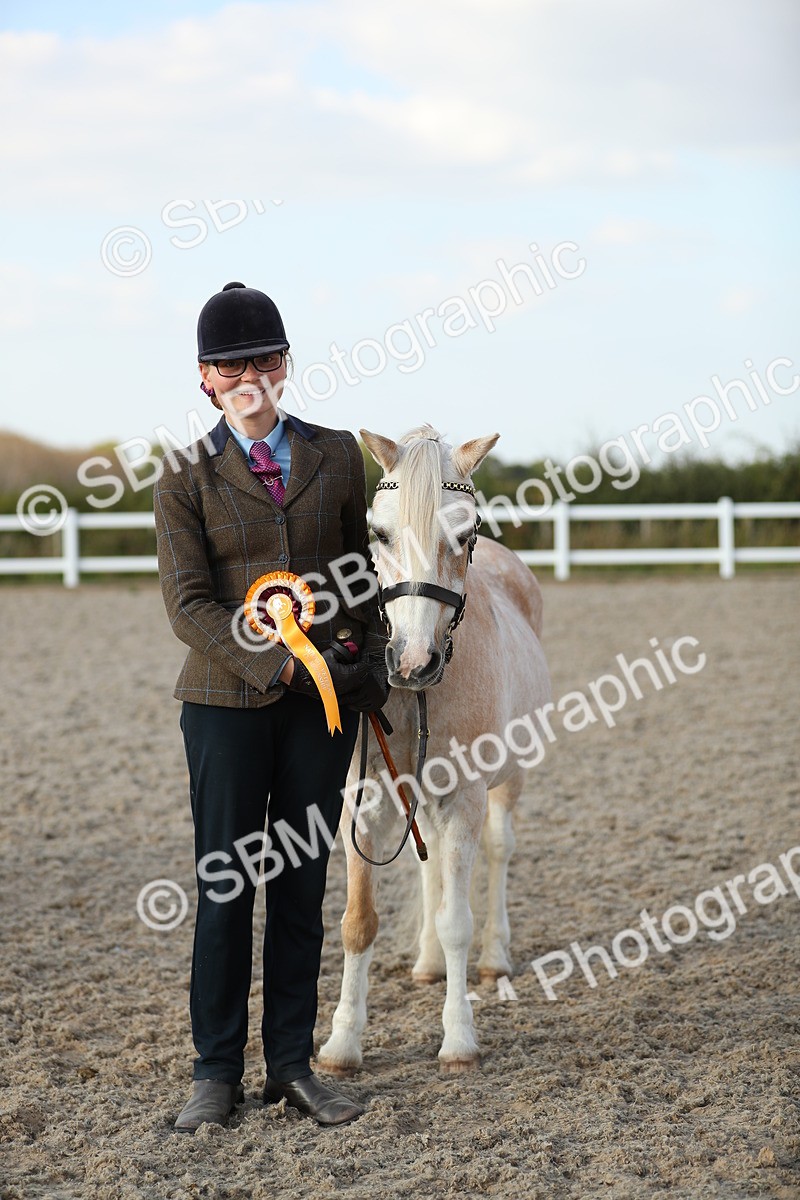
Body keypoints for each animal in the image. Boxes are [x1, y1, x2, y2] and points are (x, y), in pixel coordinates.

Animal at [317, 424, 552, 1073]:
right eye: (377, 532)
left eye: (464, 534)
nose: (413, 662)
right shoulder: (364, 802)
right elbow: (358, 922)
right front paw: (342, 1043)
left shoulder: (467, 798)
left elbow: (457, 922)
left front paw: (459, 1039)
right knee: (429, 866)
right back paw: (424, 965)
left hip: (510, 781)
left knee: (499, 851)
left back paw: (495, 959)